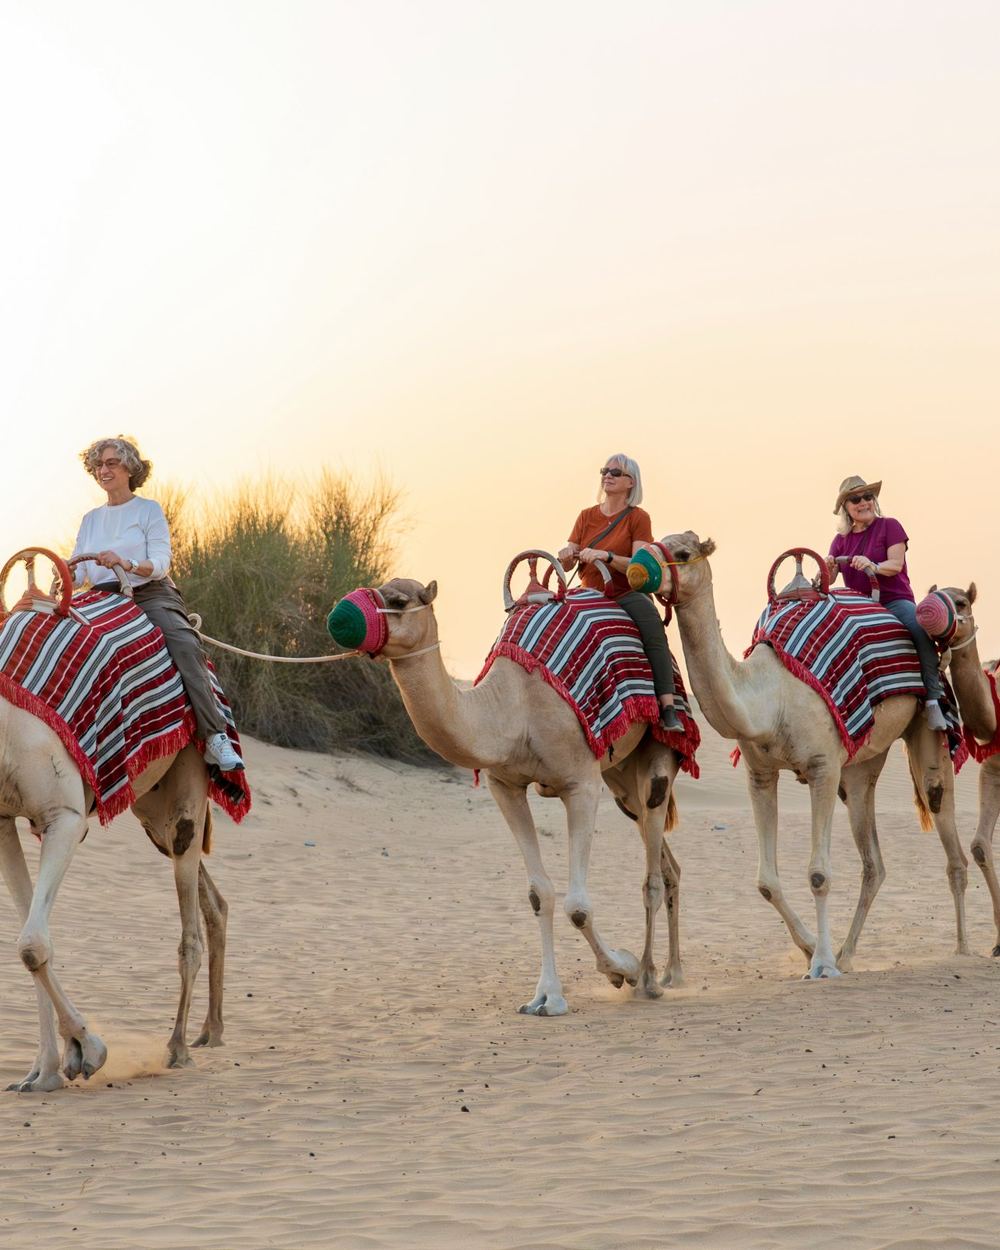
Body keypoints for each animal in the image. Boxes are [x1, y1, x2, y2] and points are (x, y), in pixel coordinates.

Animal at [0, 706, 227, 1092]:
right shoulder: (1, 821)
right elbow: (33, 938)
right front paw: (42, 1074)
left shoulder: (65, 818)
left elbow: (31, 945)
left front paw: (88, 1050)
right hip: (151, 810)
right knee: (215, 903)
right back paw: (210, 1031)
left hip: (186, 786)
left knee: (190, 932)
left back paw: (178, 1048)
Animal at [366, 577, 685, 1015]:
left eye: (398, 601)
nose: (344, 614)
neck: (514, 706)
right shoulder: (506, 786)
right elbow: (539, 894)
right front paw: (545, 997)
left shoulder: (581, 784)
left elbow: (578, 906)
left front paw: (623, 968)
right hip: (620, 775)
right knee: (668, 866)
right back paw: (672, 972)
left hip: (657, 754)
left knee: (652, 873)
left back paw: (651, 978)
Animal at [657, 532, 969, 978]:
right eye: (654, 540)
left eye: (683, 553)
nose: (638, 563)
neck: (769, 695)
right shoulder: (760, 773)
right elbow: (766, 882)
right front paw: (810, 950)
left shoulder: (822, 768)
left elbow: (819, 874)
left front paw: (821, 964)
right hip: (858, 769)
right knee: (874, 864)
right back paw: (848, 954)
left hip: (926, 732)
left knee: (948, 836)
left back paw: (964, 950)